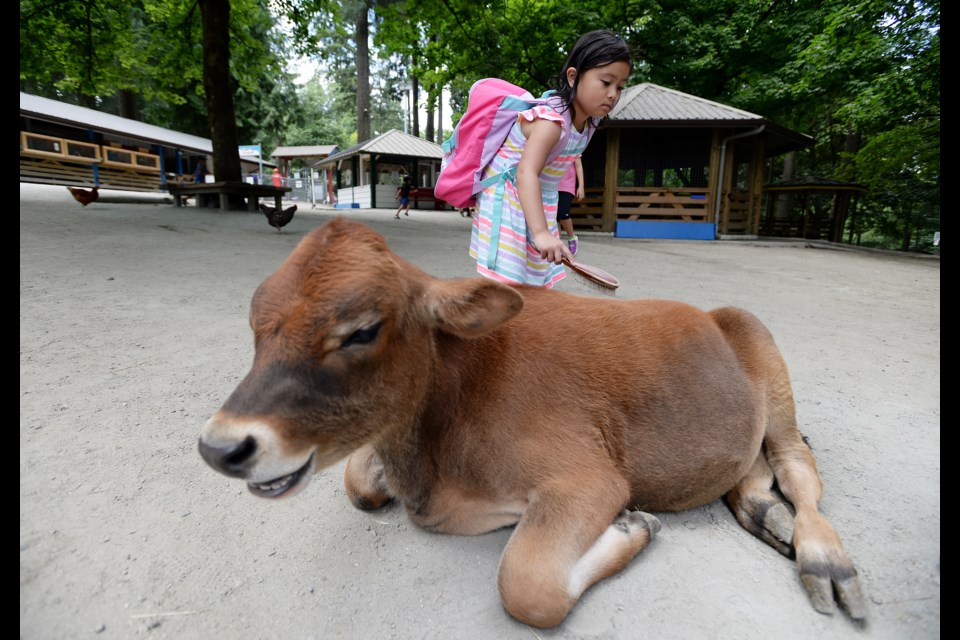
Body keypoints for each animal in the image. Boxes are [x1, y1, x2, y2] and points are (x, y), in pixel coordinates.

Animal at [199, 218, 868, 628]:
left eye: (361, 330)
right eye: (256, 325)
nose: (220, 446)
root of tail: (715, 313)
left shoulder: (588, 479)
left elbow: (528, 586)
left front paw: (634, 527)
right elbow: (359, 484)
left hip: (771, 370)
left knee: (799, 468)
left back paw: (821, 557)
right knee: (750, 472)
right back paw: (767, 514)